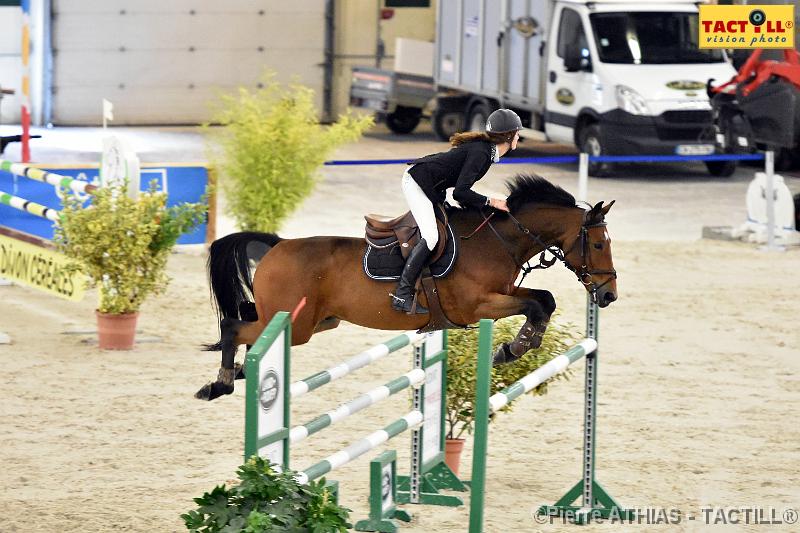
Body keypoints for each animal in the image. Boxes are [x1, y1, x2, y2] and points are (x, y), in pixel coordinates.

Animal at [195, 175, 620, 400]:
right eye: (599, 244)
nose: (609, 295)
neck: (497, 240)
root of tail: (278, 245)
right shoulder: (478, 305)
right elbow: (536, 305)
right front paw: (512, 348)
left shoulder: (499, 296)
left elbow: (543, 301)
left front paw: (517, 346)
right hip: (297, 326)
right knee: (234, 326)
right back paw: (220, 383)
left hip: (315, 321)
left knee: (248, 322)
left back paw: (239, 374)